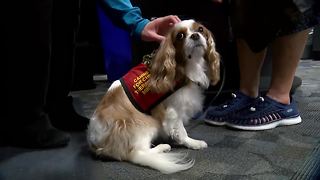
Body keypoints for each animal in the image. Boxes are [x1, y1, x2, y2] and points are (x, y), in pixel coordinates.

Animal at [86, 19, 219, 174]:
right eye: (180, 36)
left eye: (200, 29)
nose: (195, 35)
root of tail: (98, 146)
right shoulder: (172, 110)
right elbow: (181, 131)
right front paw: (193, 143)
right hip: (147, 123)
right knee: (138, 153)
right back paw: (163, 147)